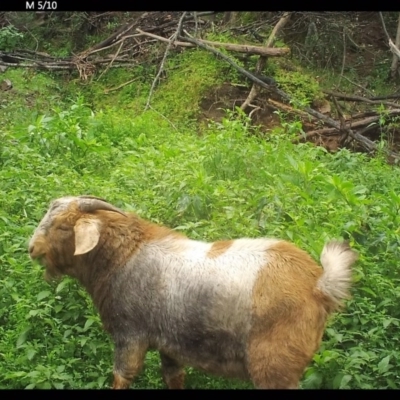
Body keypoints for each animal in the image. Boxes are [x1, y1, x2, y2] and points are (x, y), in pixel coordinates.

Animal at [29, 195, 358, 390]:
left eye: (63, 228)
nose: (32, 249)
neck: (125, 255)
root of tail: (318, 285)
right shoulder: (169, 345)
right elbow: (174, 377)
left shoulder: (130, 336)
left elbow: (122, 377)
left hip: (275, 367)